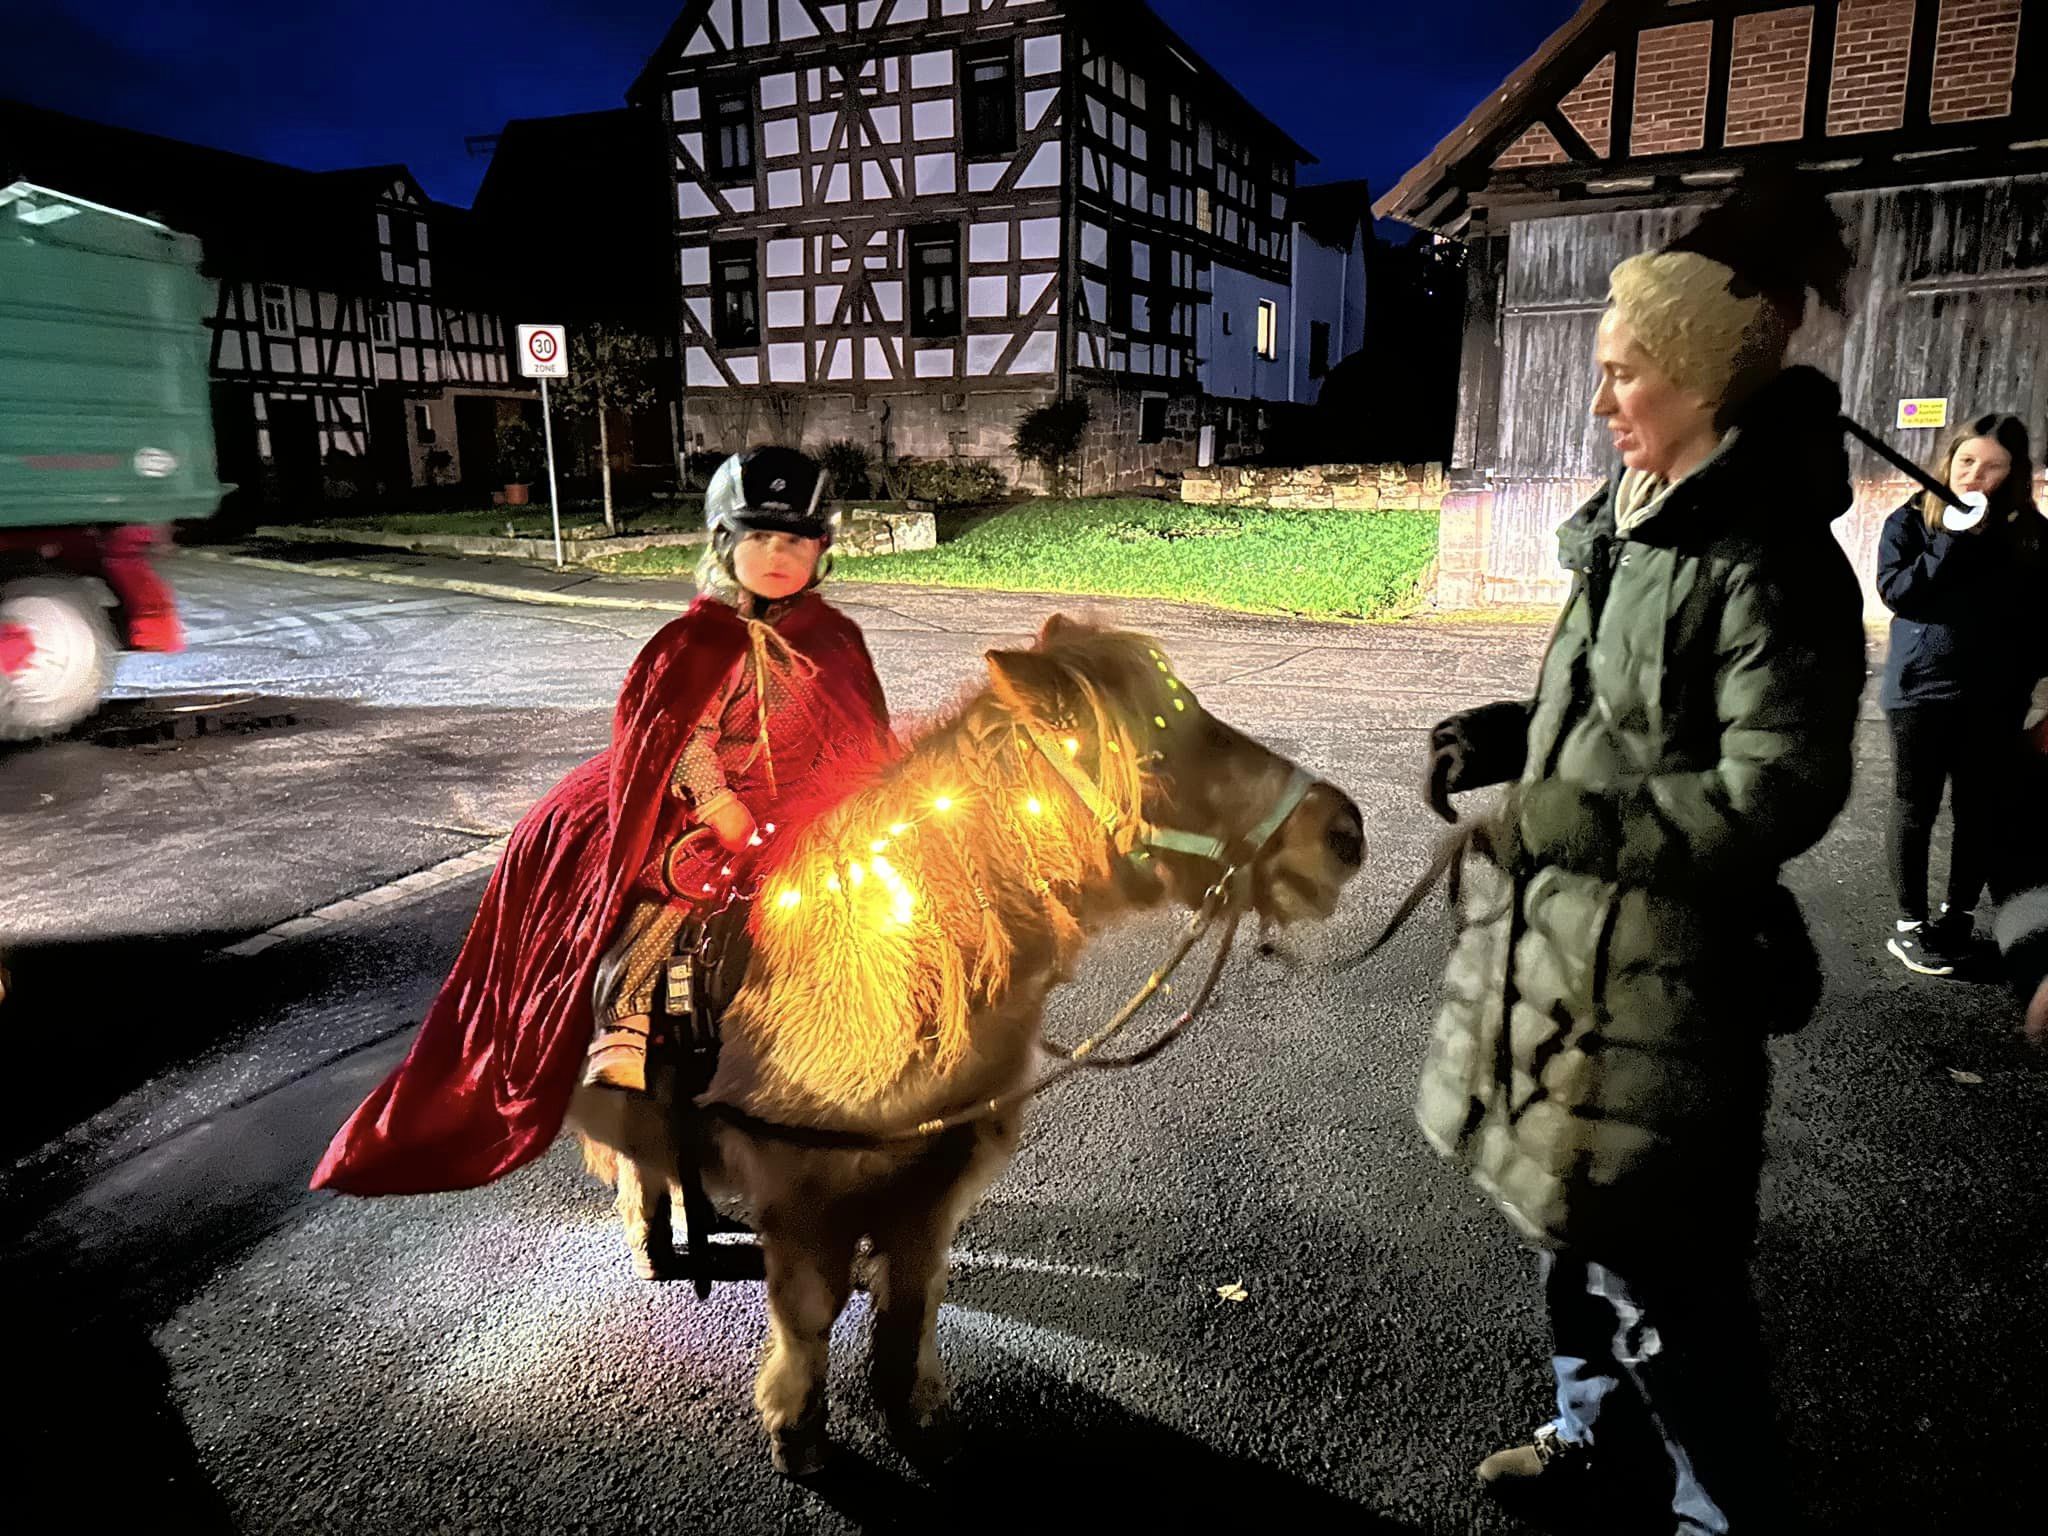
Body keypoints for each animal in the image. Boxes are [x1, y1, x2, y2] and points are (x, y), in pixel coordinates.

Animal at [561, 618, 1368, 1482]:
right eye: (1154, 755)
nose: (1345, 834)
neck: (887, 965)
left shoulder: (933, 1182)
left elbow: (912, 1301)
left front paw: (916, 1418)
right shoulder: (802, 1194)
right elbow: (810, 1315)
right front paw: (797, 1432)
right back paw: (651, 1243)